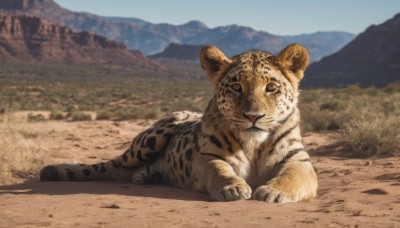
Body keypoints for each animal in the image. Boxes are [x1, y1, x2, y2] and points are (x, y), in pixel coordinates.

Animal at [39, 43, 318, 203]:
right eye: (236, 87)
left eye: (271, 87)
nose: (253, 116)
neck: (254, 145)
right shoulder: (208, 158)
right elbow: (221, 172)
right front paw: (233, 188)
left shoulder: (299, 161)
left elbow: (292, 176)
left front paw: (274, 191)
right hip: (149, 140)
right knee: (108, 166)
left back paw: (148, 176)